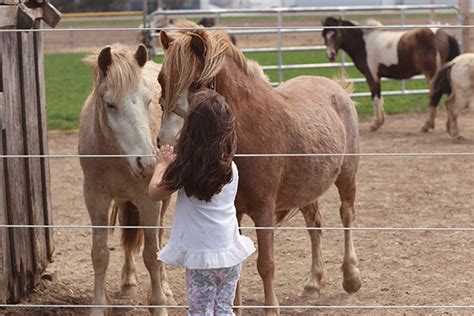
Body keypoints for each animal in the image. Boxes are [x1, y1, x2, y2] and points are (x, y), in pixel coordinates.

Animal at [78, 44, 175, 316]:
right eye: (110, 104)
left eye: (148, 101)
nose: (148, 163)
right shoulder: (95, 199)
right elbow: (100, 254)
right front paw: (99, 307)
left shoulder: (149, 202)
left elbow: (152, 253)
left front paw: (159, 304)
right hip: (122, 200)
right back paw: (128, 279)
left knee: (160, 239)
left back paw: (166, 288)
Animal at [157, 21, 362, 314]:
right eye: (161, 80)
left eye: (195, 84)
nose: (166, 143)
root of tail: (336, 88)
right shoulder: (234, 212)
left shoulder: (264, 209)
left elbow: (266, 264)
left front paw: (270, 308)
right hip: (306, 189)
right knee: (315, 225)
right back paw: (313, 282)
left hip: (347, 175)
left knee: (346, 215)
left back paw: (351, 277)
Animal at [322, 16, 460, 132]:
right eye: (324, 35)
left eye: (335, 33)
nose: (330, 55)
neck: (363, 43)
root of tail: (443, 35)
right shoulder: (377, 77)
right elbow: (380, 99)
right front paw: (380, 121)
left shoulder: (372, 77)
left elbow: (375, 98)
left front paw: (375, 124)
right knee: (449, 95)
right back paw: (449, 126)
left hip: (432, 75)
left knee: (436, 95)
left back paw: (427, 125)